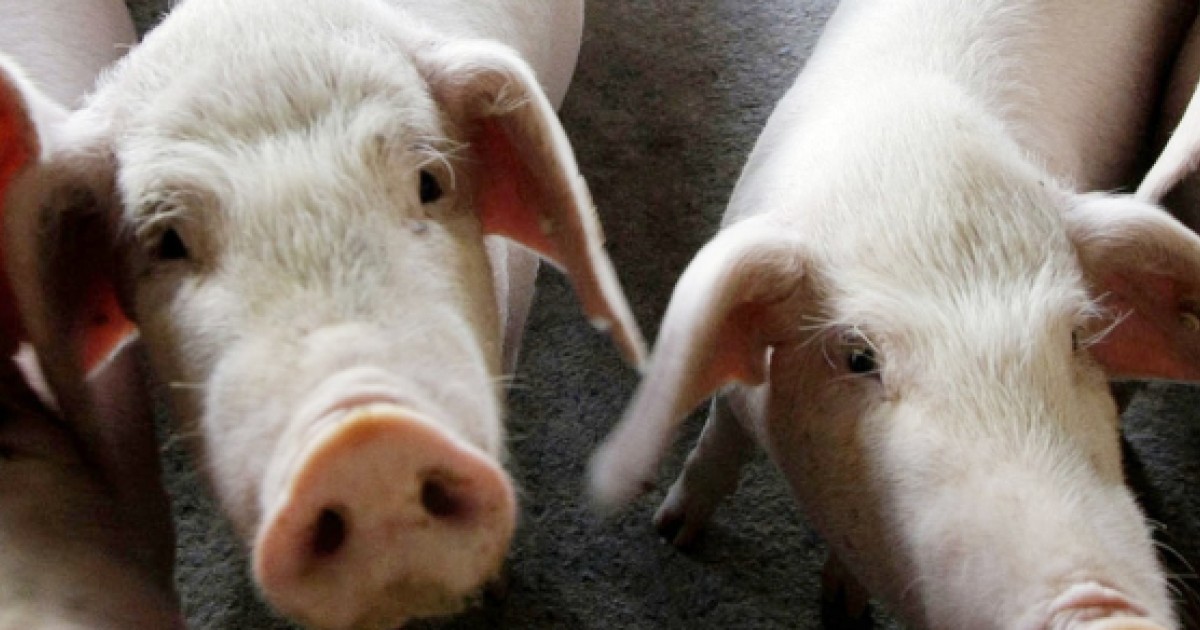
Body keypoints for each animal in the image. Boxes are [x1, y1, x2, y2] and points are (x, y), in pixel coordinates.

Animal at [589, 0, 1200, 628]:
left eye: (1076, 337)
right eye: (859, 357)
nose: (1107, 613)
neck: (913, 170)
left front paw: (844, 608)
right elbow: (719, 438)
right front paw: (672, 532)